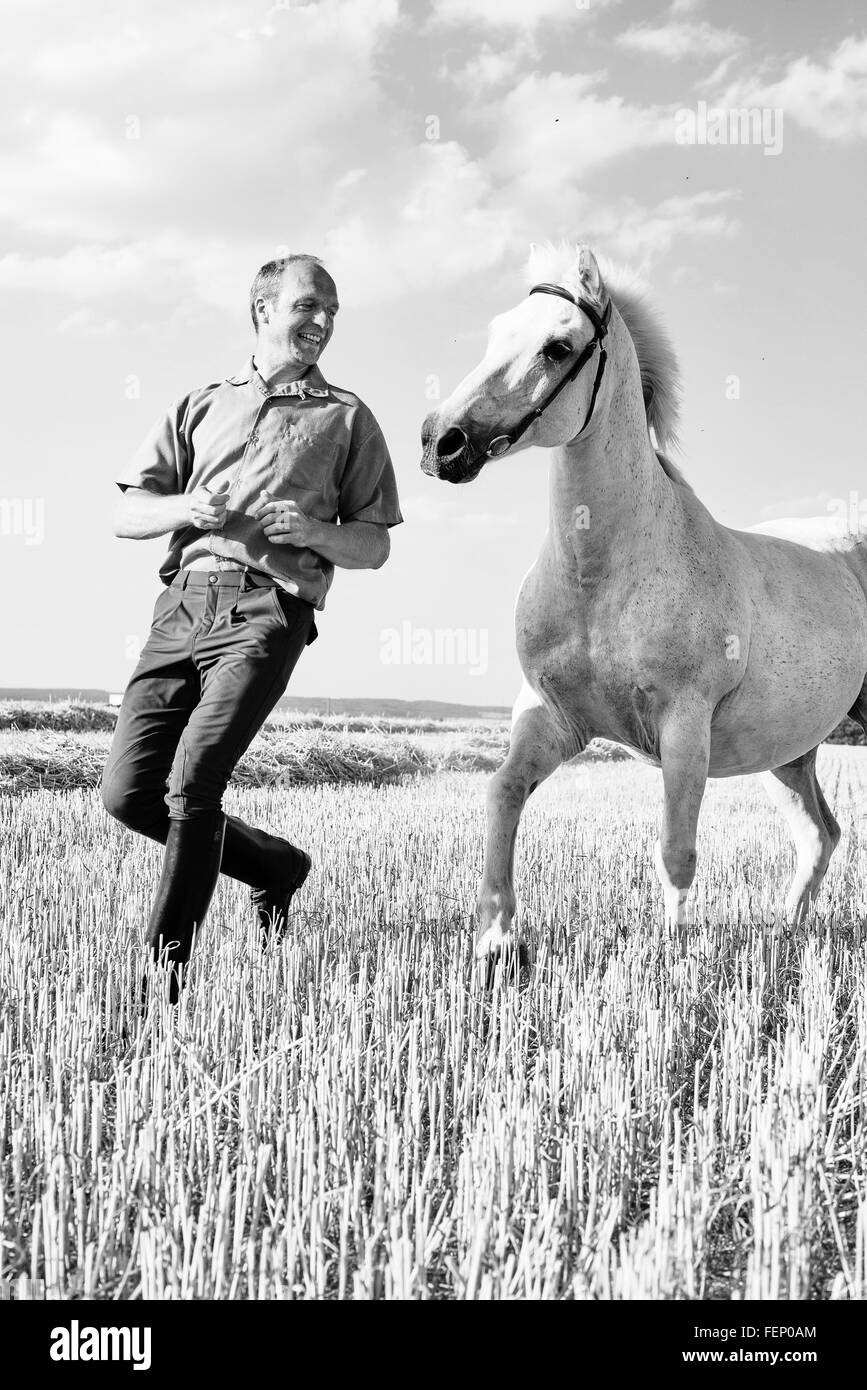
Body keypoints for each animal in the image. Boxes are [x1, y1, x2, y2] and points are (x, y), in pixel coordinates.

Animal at [420, 242, 867, 979]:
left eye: (557, 346)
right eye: (493, 332)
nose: (441, 442)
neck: (601, 576)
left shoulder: (684, 727)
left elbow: (675, 851)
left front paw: (674, 959)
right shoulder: (553, 719)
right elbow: (502, 795)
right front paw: (494, 940)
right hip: (789, 755)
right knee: (818, 836)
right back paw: (786, 934)